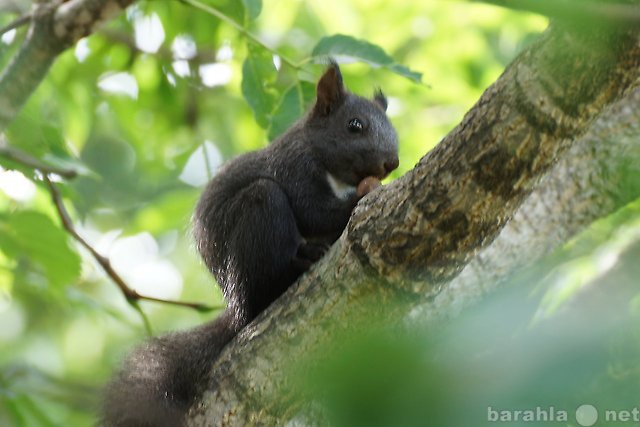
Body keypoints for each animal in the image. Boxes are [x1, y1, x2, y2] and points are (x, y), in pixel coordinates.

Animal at [102, 62, 398, 427]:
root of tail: (237, 308)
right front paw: (364, 194)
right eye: (354, 125)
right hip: (260, 217)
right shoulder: (293, 167)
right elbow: (313, 212)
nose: (392, 162)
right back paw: (299, 265)